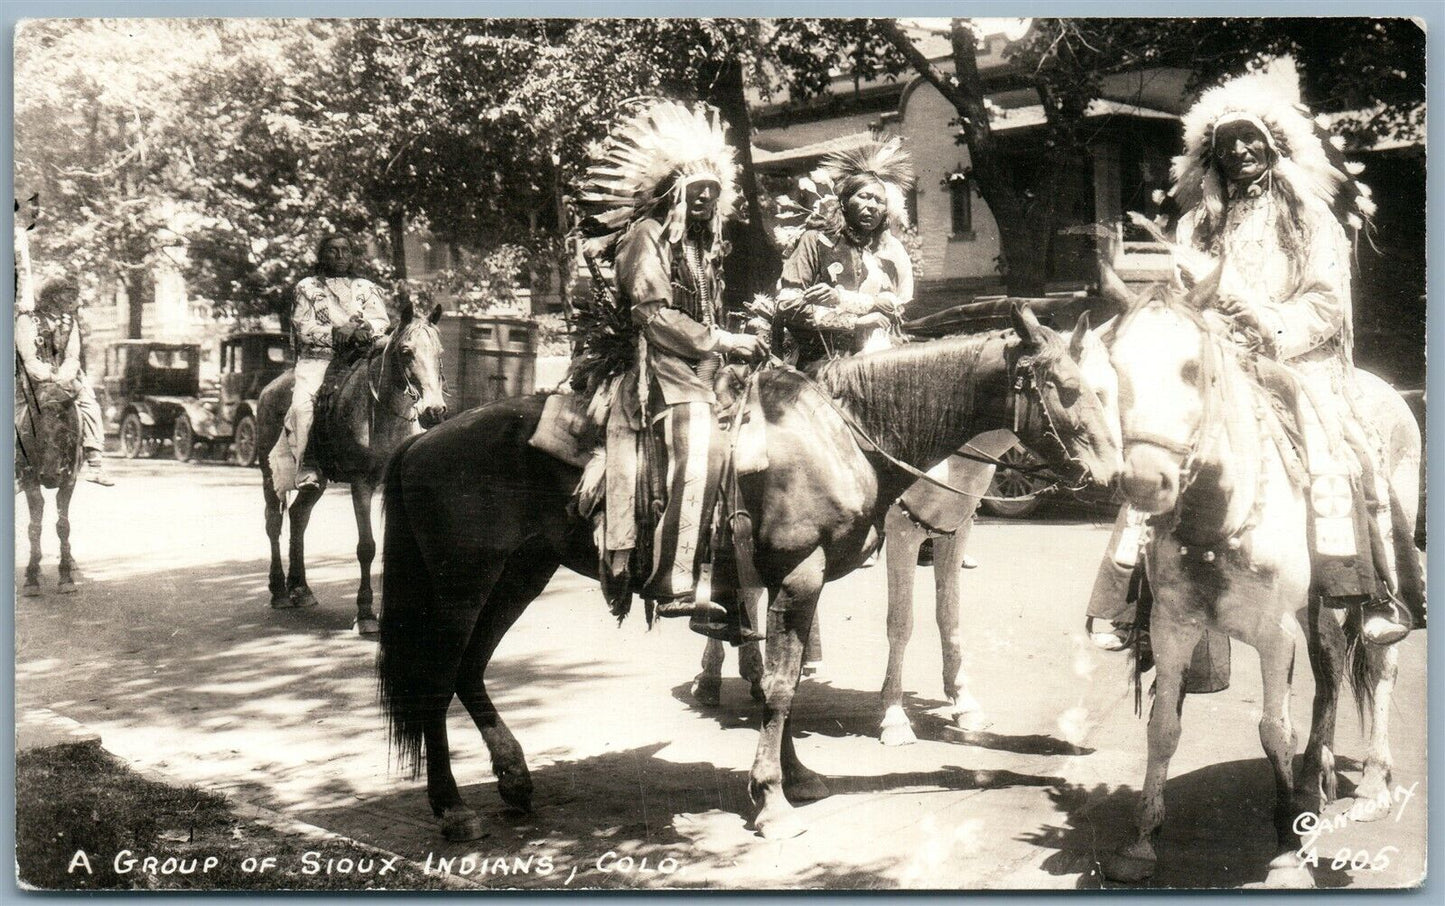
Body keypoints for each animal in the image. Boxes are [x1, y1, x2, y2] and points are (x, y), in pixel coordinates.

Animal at [15, 378, 84, 595]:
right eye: (36, 432)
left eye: (65, 431)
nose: (51, 476)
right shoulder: (29, 479)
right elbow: (34, 527)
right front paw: (31, 578)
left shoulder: (69, 479)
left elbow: (63, 525)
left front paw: (66, 577)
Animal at [255, 302, 445, 635]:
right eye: (406, 351)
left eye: (439, 352)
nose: (434, 411)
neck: (381, 413)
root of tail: (269, 389)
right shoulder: (361, 483)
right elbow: (366, 546)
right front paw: (366, 613)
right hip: (269, 475)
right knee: (274, 523)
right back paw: (279, 591)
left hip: (317, 482)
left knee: (299, 516)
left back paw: (300, 588)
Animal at [378, 304, 1121, 843]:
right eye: (1067, 389)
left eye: (1107, 386)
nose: (1114, 477)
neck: (840, 433)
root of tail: (422, 440)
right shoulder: (799, 575)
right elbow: (784, 685)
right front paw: (771, 799)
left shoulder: (774, 580)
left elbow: (769, 679)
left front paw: (792, 775)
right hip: (462, 585)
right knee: (437, 678)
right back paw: (453, 809)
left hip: (517, 576)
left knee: (469, 670)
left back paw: (513, 780)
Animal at [1098, 280, 1416, 890]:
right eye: (1115, 367)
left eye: (1194, 370)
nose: (1145, 482)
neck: (1217, 518)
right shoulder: (1172, 627)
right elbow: (1163, 729)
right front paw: (1141, 842)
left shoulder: (1274, 635)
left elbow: (1274, 731)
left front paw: (1287, 854)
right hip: (1315, 608)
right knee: (1331, 668)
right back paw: (1317, 779)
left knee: (1378, 665)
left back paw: (1369, 785)